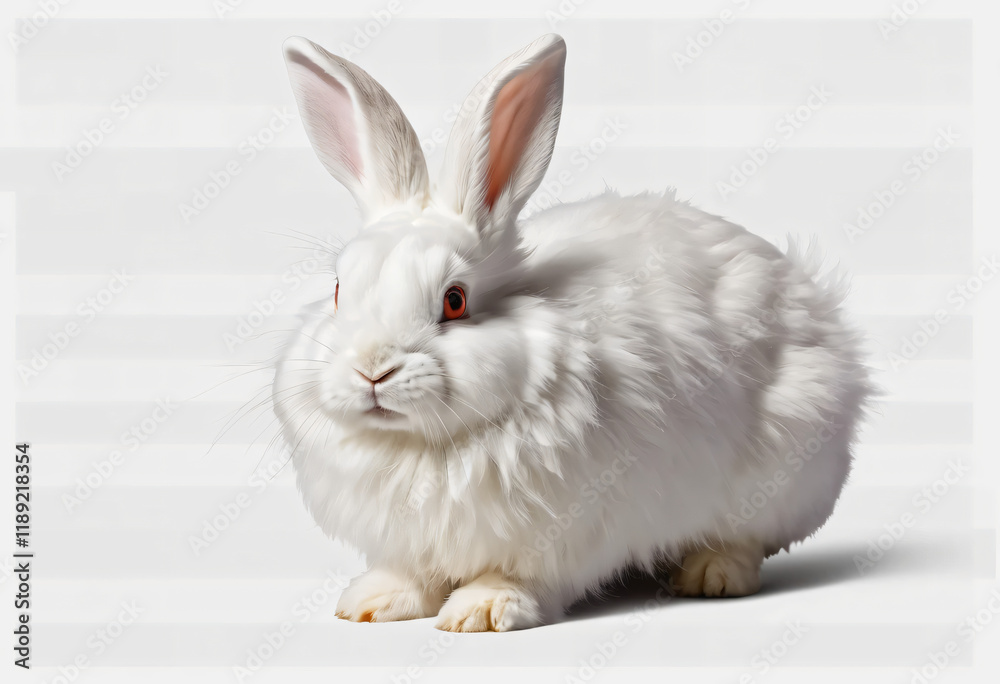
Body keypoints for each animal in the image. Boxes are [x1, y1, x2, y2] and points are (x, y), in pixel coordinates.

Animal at [273, 33, 872, 632]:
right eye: (338, 289)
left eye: (455, 300)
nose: (372, 370)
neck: (421, 444)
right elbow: (409, 574)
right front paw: (371, 604)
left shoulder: (558, 534)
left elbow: (516, 575)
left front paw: (482, 610)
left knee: (747, 539)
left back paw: (711, 574)